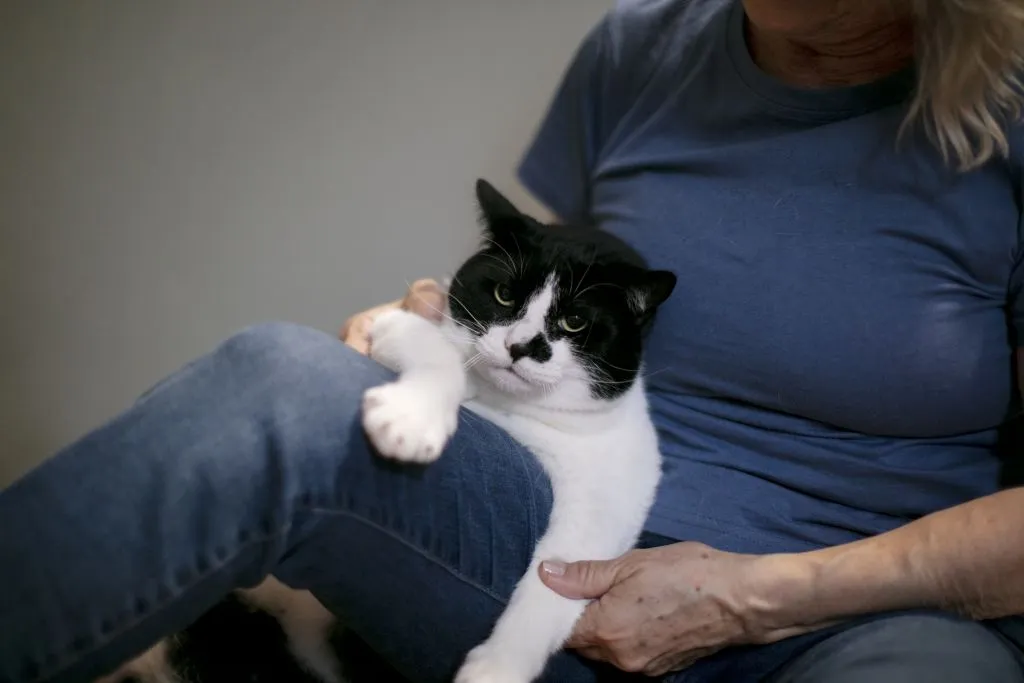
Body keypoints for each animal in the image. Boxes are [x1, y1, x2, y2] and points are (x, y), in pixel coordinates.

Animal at [362, 179, 676, 683]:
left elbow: (558, 575)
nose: (520, 346)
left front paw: (497, 667)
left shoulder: (611, 496)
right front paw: (411, 419)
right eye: (505, 293)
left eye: (574, 321)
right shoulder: (398, 323)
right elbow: (438, 354)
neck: (508, 407)